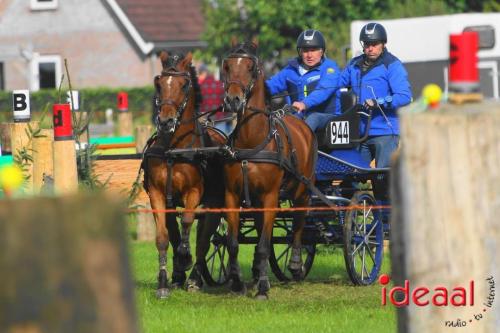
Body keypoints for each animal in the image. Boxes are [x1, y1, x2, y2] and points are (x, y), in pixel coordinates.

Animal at [143, 51, 225, 298]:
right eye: (159, 83)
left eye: (184, 84)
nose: (166, 121)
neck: (174, 149)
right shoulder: (157, 194)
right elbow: (163, 237)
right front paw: (163, 283)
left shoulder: (194, 192)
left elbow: (188, 222)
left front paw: (184, 257)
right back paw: (179, 276)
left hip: (215, 205)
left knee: (205, 241)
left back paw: (195, 278)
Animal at [223, 41, 316, 298]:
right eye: (226, 66)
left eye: (251, 68)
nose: (233, 100)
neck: (252, 141)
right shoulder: (232, 195)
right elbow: (233, 243)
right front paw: (237, 283)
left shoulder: (271, 196)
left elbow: (265, 243)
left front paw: (263, 288)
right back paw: (257, 271)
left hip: (302, 189)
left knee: (299, 223)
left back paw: (295, 265)